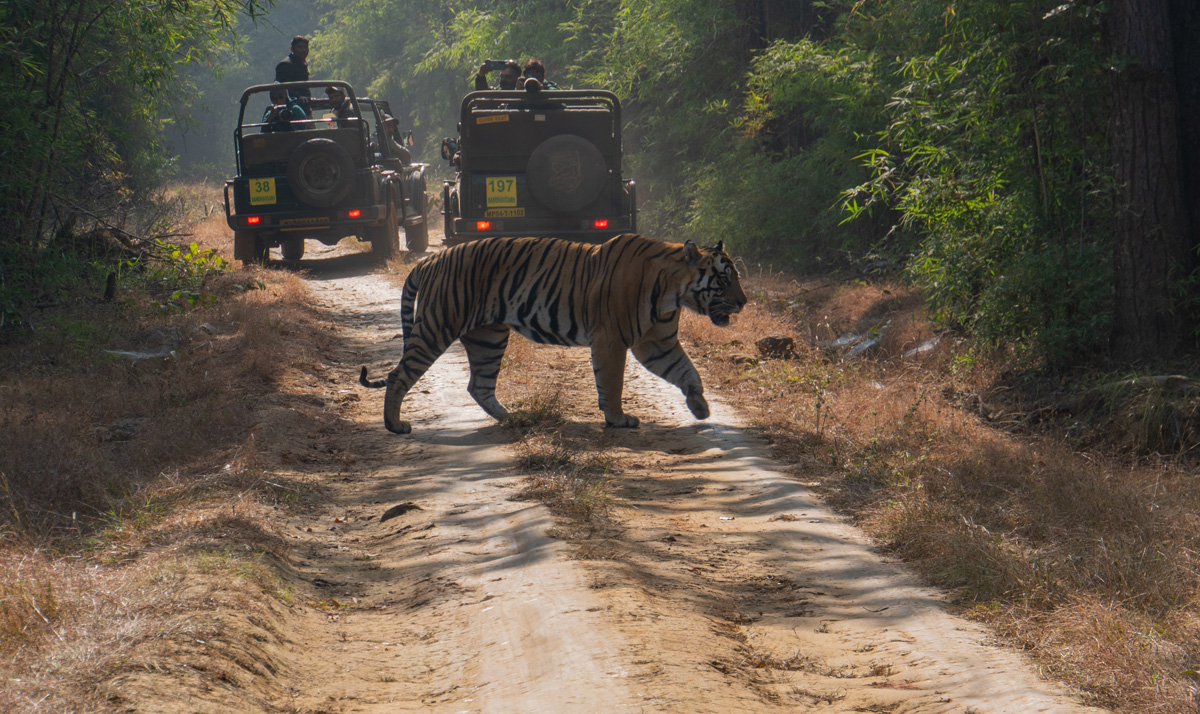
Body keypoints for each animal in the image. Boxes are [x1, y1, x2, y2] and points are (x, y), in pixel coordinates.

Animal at [359, 233, 747, 434]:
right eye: (724, 279)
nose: (744, 302)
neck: (675, 291)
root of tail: (430, 260)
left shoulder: (657, 342)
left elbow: (688, 372)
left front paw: (700, 407)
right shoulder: (612, 339)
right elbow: (612, 383)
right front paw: (617, 419)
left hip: (488, 337)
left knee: (478, 385)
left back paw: (513, 418)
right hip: (438, 324)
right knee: (399, 373)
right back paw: (395, 425)